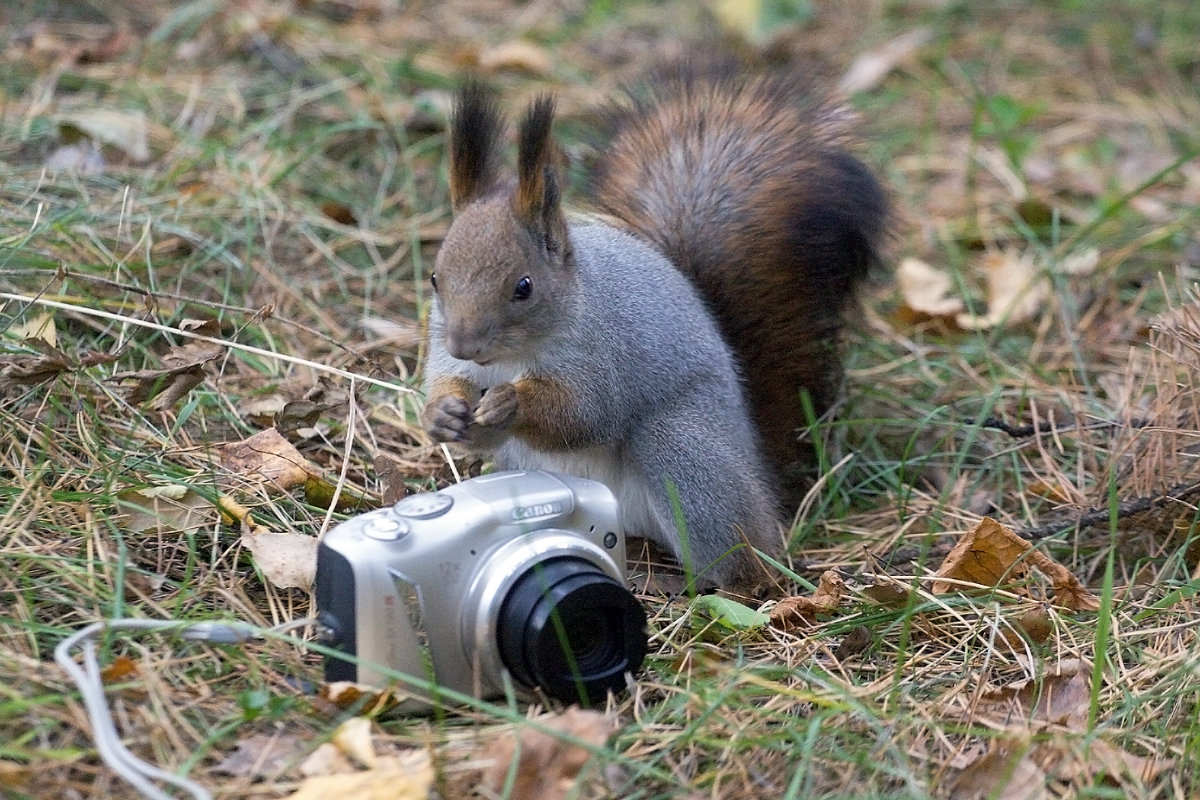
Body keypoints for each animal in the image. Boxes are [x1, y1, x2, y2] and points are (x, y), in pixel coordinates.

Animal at [420, 67, 883, 594]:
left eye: (523, 287)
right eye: (434, 277)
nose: (463, 343)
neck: (509, 359)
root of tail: (757, 462)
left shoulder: (604, 353)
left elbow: (585, 413)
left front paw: (509, 402)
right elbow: (456, 397)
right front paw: (442, 414)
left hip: (681, 447)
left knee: (743, 550)